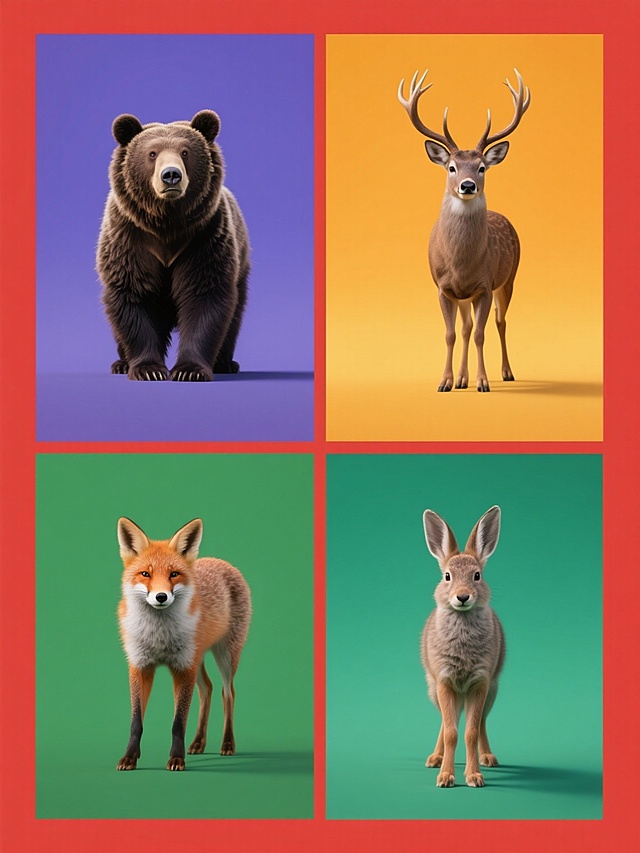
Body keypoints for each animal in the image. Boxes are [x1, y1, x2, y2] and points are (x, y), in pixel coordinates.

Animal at [97, 110, 250, 381]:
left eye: (185, 152)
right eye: (152, 153)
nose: (170, 175)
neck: (167, 225)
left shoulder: (204, 239)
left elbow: (205, 297)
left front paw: (189, 370)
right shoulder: (130, 239)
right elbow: (133, 295)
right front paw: (148, 369)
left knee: (233, 317)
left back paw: (225, 363)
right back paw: (121, 363)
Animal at [398, 69, 530, 392]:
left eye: (482, 167)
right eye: (451, 167)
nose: (468, 186)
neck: (461, 263)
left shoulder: (483, 285)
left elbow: (482, 333)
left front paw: (482, 382)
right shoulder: (444, 287)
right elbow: (451, 334)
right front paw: (446, 381)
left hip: (510, 277)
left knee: (499, 321)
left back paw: (506, 372)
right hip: (464, 296)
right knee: (467, 327)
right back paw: (461, 379)